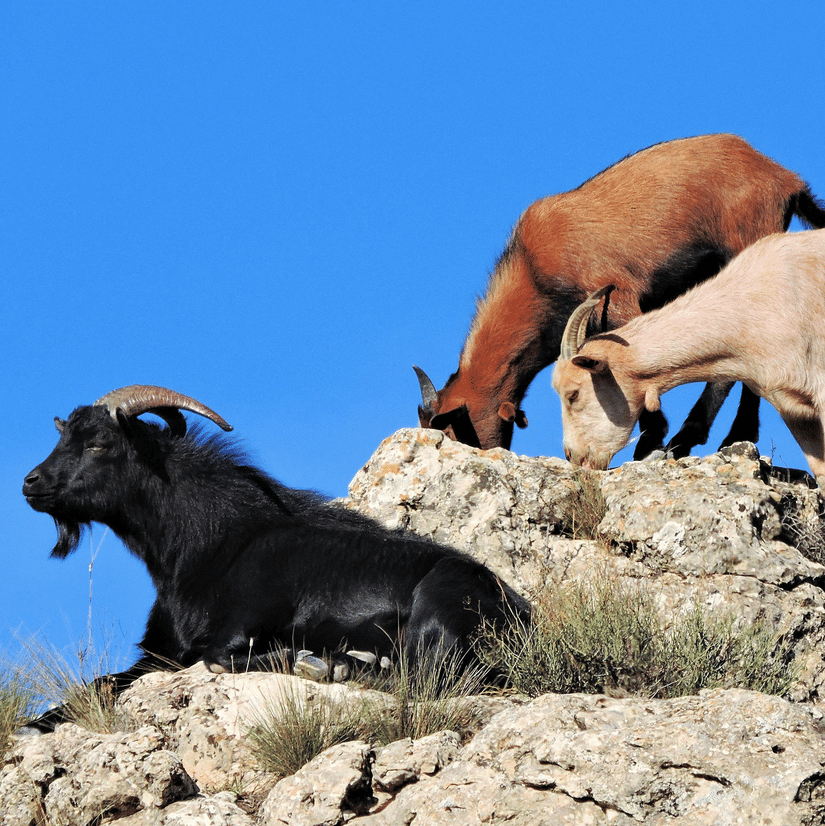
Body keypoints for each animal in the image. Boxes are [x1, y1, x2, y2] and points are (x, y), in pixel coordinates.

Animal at [22, 385, 530, 729]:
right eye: (64, 437)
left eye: (98, 443)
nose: (31, 483)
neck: (211, 544)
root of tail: (522, 616)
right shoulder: (157, 654)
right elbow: (99, 684)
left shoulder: (243, 621)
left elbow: (218, 659)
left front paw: (311, 658)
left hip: (438, 611)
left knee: (423, 676)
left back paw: (336, 663)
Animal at [415, 134, 825, 457]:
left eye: (451, 431)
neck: (532, 270)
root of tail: (784, 178)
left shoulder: (618, 298)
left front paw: (651, 439)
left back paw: (716, 436)